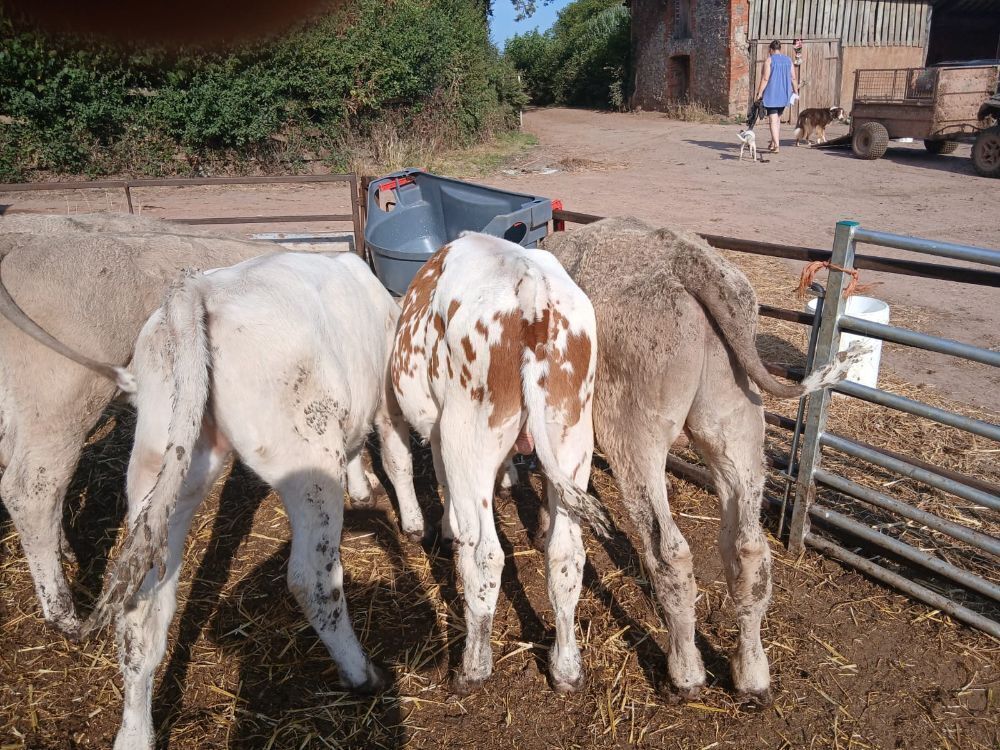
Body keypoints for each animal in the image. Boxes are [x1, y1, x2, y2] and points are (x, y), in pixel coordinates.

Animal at [75, 251, 420, 749]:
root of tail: (197, 290)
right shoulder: (388, 398)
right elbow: (397, 457)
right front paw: (412, 521)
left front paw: (362, 487)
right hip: (307, 459)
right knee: (311, 578)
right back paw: (361, 673)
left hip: (161, 462)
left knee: (143, 609)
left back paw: (135, 733)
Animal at [390, 231, 610, 696]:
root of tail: (532, 293)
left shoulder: (440, 435)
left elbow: (445, 488)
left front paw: (446, 528)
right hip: (573, 436)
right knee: (566, 556)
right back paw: (566, 668)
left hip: (467, 438)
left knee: (485, 555)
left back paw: (473, 666)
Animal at [539, 217, 865, 703]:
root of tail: (686, 261)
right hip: (735, 420)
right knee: (749, 548)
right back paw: (752, 675)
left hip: (633, 431)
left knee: (668, 551)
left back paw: (686, 672)